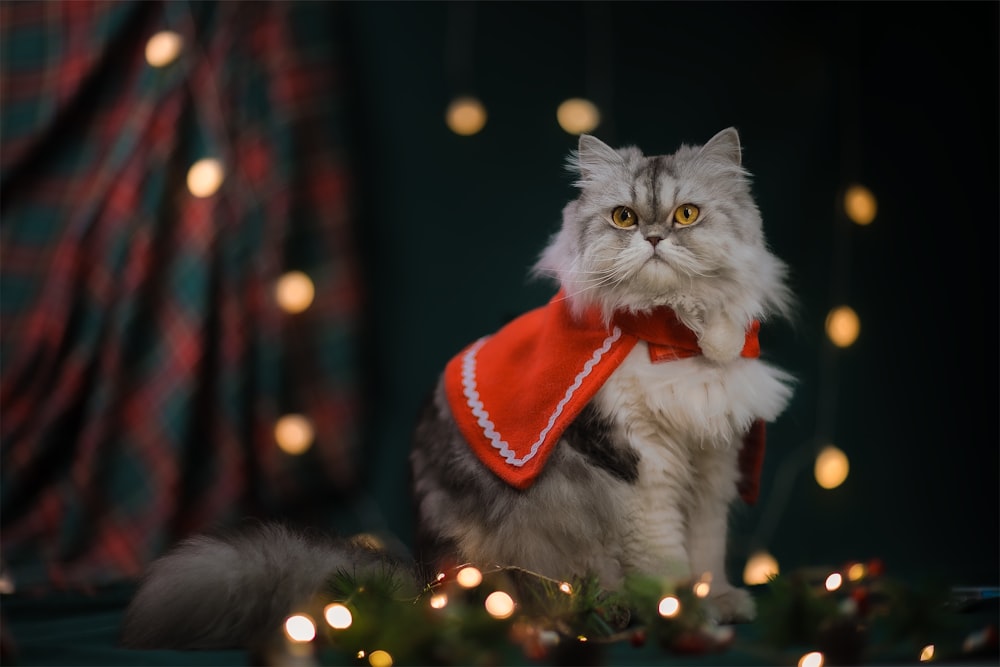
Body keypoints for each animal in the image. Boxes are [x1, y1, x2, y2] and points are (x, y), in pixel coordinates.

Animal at [123, 128, 796, 648]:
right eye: (624, 217)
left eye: (686, 215)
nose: (654, 238)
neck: (672, 333)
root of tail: (427, 580)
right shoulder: (639, 467)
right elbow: (665, 559)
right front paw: (686, 614)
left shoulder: (712, 464)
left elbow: (706, 550)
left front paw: (720, 601)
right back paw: (604, 612)